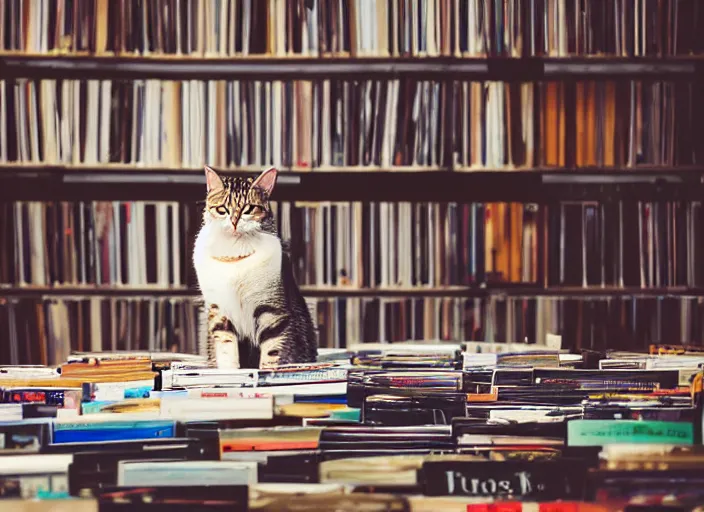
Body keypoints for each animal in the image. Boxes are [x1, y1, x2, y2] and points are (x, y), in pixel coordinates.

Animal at [191, 167, 314, 368]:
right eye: (222, 209)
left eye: (248, 208)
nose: (234, 221)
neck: (234, 256)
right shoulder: (219, 312)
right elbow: (226, 349)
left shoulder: (272, 311)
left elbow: (272, 352)